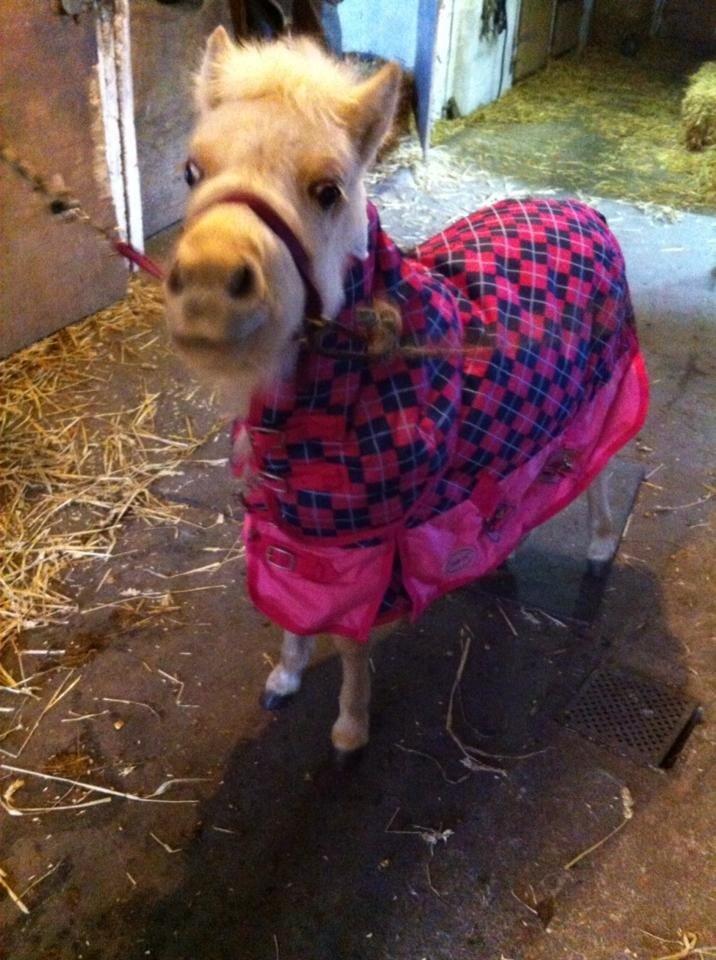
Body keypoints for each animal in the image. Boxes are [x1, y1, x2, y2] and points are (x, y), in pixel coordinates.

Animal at [164, 27, 649, 762]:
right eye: (193, 171)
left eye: (328, 189)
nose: (207, 288)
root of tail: (582, 208)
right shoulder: (302, 527)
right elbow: (295, 610)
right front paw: (285, 677)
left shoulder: (369, 539)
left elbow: (352, 640)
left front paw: (350, 728)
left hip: (602, 391)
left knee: (596, 471)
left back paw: (598, 548)